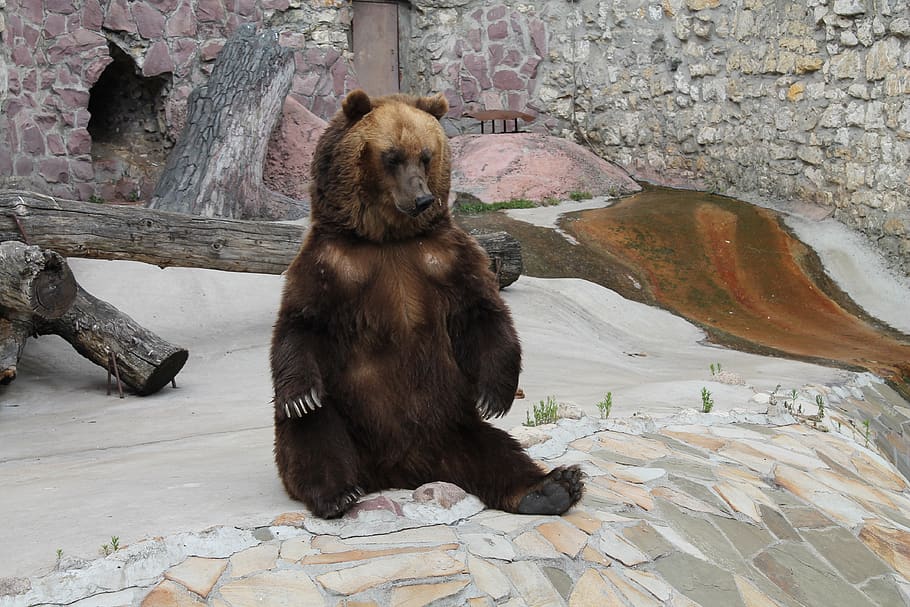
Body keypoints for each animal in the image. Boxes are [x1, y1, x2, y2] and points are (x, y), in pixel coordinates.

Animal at [270, 89, 584, 519]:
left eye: (426, 155)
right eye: (391, 156)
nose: (421, 198)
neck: (388, 238)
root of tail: (402, 469)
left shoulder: (445, 257)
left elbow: (483, 314)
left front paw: (494, 396)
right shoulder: (332, 263)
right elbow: (302, 322)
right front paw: (301, 395)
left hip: (454, 422)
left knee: (498, 450)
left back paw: (551, 487)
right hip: (350, 415)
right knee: (312, 432)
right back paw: (336, 493)